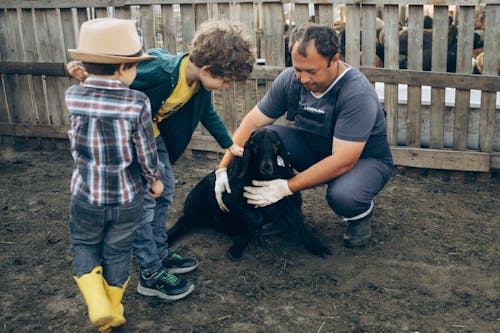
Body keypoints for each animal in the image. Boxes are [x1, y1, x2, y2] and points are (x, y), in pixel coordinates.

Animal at [169, 127, 332, 260]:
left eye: (275, 143)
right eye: (253, 144)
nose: (266, 167)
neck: (264, 178)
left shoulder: (291, 204)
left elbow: (301, 225)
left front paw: (317, 246)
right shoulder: (229, 200)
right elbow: (256, 218)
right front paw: (237, 248)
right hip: (193, 209)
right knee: (182, 222)